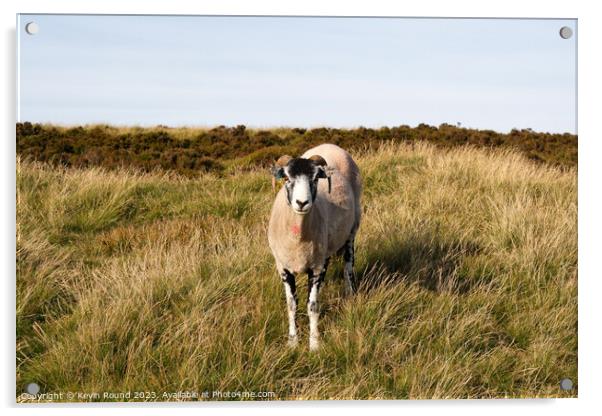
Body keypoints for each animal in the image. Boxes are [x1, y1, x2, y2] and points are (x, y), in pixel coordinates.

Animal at [268, 143, 360, 352]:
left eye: (316, 178)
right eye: (287, 178)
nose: (302, 203)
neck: (298, 237)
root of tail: (329, 145)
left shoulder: (317, 267)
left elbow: (312, 306)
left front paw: (314, 344)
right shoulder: (283, 268)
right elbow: (291, 305)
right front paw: (293, 342)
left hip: (353, 227)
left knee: (348, 264)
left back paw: (350, 294)